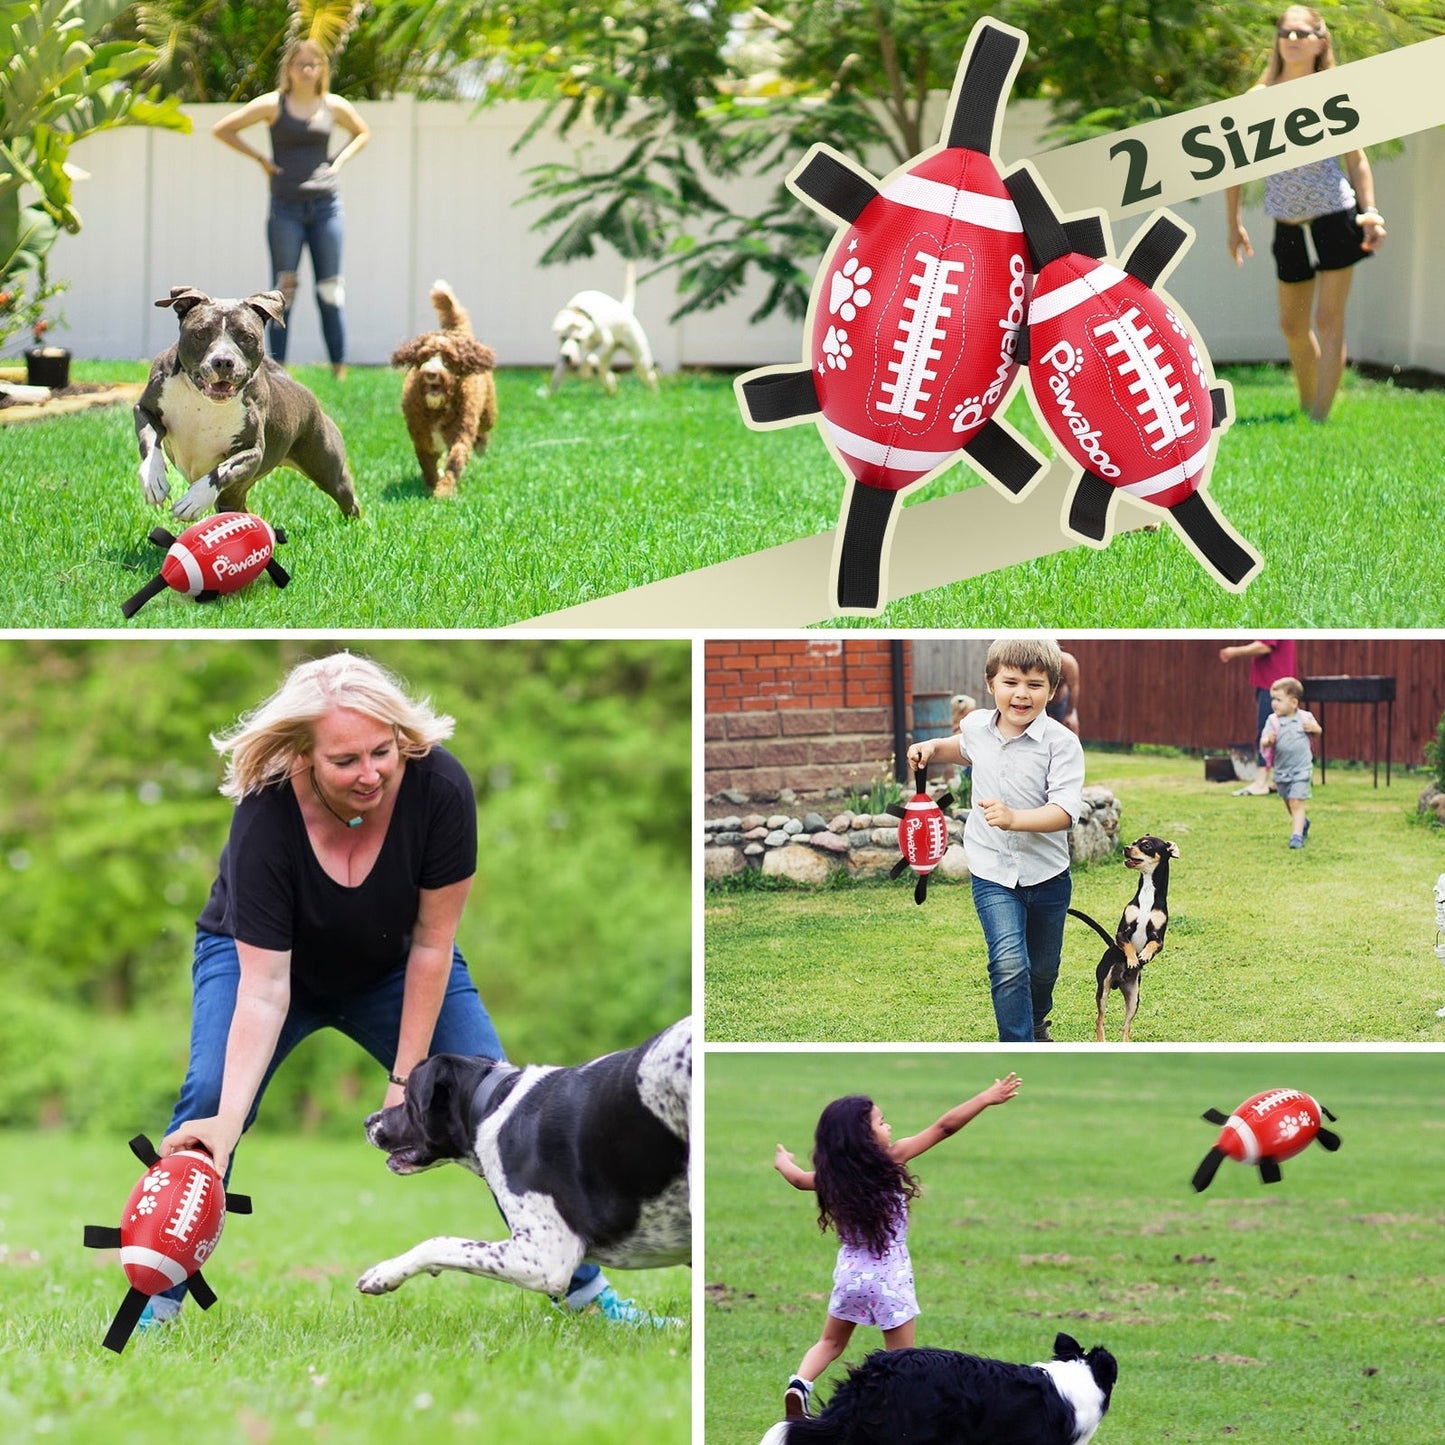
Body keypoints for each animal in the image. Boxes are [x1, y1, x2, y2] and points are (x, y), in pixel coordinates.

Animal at [135, 284, 361, 523]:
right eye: (200, 333)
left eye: (247, 337)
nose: (223, 361)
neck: (203, 401)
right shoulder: (145, 410)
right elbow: (150, 440)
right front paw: (153, 480)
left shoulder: (252, 451)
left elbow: (223, 470)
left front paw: (194, 499)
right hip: (234, 496)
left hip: (326, 467)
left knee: (347, 498)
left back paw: (352, 525)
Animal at [352, 1017, 684, 1300]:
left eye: (407, 1098)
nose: (367, 1120)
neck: (492, 1103)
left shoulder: (543, 1257)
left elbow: (438, 1242)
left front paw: (384, 1273)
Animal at [390, 280, 497, 497]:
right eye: (424, 356)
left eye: (448, 359)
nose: (431, 373)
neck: (438, 408)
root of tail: (458, 333)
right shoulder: (422, 436)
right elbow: (427, 463)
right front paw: (432, 483)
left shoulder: (461, 431)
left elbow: (456, 459)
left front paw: (444, 490)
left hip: (488, 413)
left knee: (484, 430)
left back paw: (481, 445)